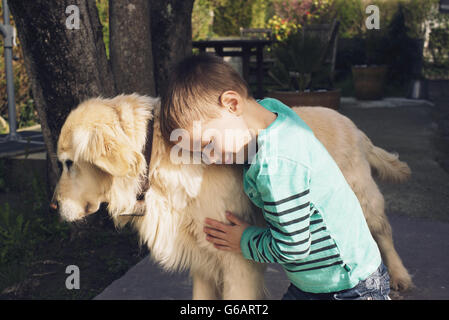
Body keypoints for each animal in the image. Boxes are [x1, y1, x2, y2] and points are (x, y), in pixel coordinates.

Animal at [51, 94, 410, 298]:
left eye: (68, 163)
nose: (53, 205)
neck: (154, 158)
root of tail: (351, 123)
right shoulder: (201, 257)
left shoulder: (236, 259)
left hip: (365, 200)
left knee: (383, 233)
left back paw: (399, 276)